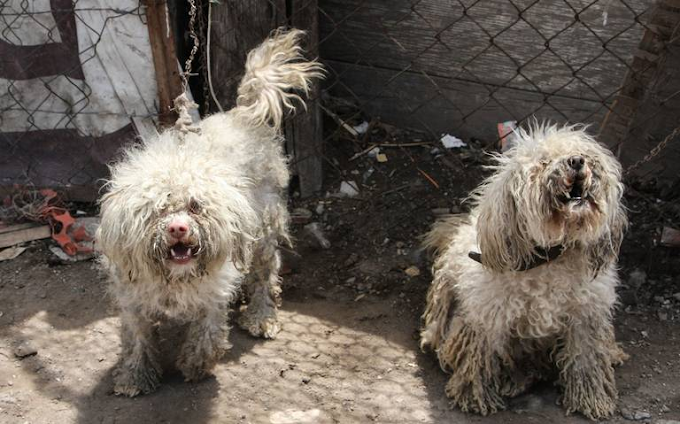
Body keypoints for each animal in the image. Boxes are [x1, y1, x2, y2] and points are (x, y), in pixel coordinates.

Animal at [95, 30, 324, 398]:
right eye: (158, 210)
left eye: (194, 206)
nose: (177, 229)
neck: (174, 278)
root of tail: (243, 114)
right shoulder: (133, 303)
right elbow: (137, 340)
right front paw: (135, 376)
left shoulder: (212, 296)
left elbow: (207, 336)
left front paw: (195, 365)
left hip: (264, 230)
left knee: (265, 275)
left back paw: (261, 316)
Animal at [422, 123, 628, 420]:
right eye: (543, 163)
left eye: (585, 153)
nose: (576, 161)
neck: (550, 257)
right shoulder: (488, 318)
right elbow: (479, 357)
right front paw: (474, 394)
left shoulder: (585, 316)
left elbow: (586, 359)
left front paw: (592, 398)